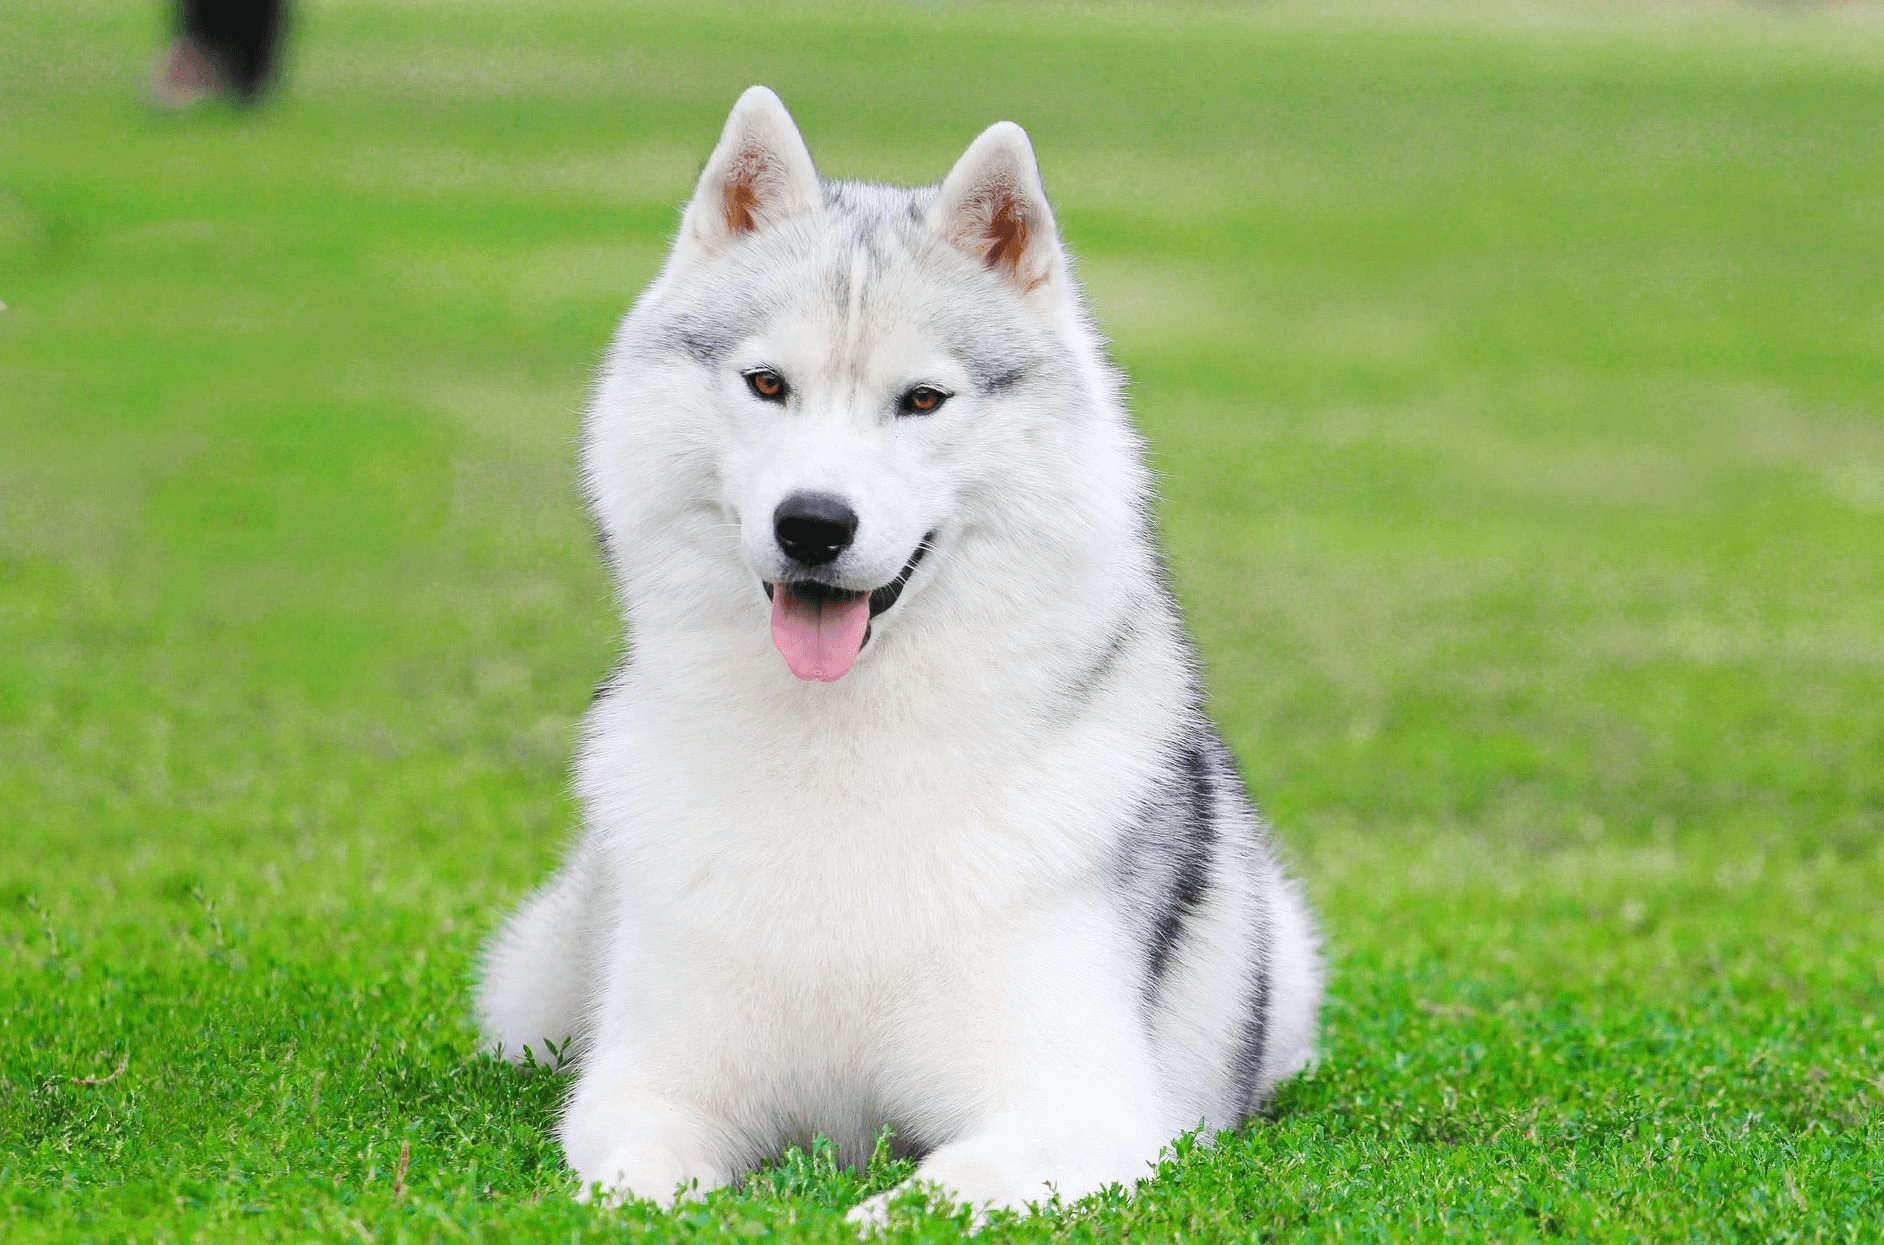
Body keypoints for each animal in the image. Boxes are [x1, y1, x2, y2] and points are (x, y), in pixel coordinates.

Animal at [475, 85, 1323, 1224]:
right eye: (766, 383)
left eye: (922, 399)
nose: (812, 525)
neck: (843, 750)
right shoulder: (647, 1086)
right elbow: (641, 1182)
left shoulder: (1077, 1108)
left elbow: (927, 1196)